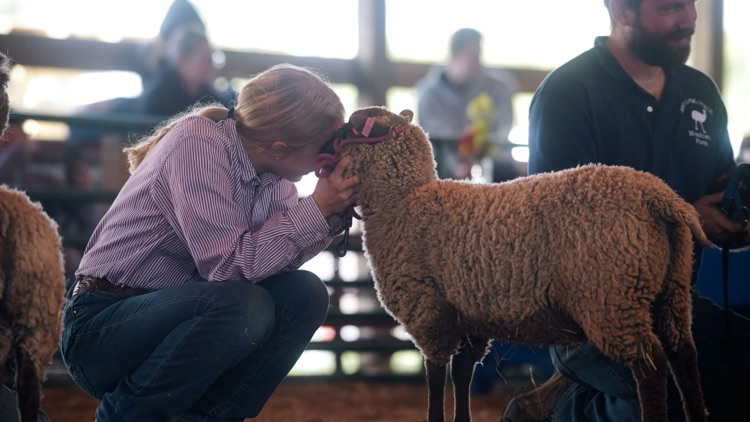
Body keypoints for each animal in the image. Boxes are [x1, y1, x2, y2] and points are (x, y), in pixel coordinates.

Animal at [326, 105, 709, 422]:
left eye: (351, 125)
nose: (328, 138)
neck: (403, 200)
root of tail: (658, 196)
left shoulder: (427, 311)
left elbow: (435, 377)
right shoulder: (470, 316)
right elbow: (461, 374)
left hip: (611, 295)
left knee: (651, 367)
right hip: (670, 290)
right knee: (685, 356)